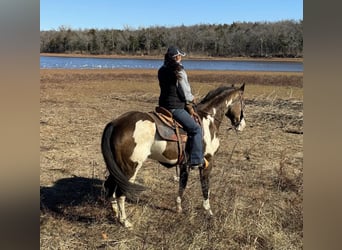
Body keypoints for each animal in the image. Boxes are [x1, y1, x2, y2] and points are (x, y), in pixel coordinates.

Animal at [100, 83, 244, 228]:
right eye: (243, 102)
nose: (242, 125)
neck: (208, 121)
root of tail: (115, 123)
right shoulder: (208, 161)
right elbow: (205, 186)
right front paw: (208, 211)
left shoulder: (185, 164)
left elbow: (182, 185)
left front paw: (178, 207)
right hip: (130, 167)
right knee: (120, 192)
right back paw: (125, 222)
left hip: (118, 167)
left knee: (110, 186)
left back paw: (115, 213)